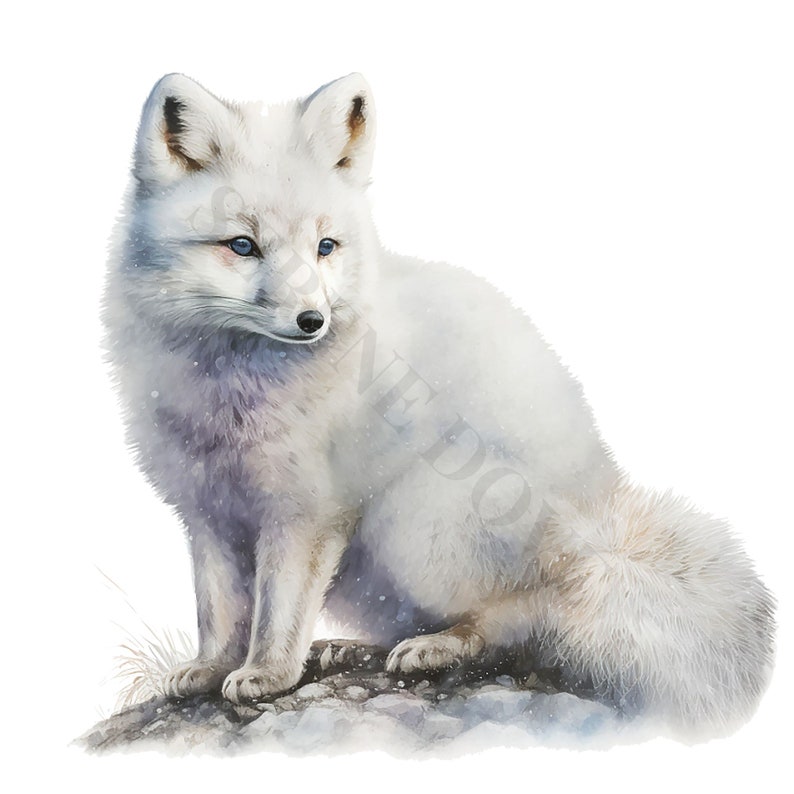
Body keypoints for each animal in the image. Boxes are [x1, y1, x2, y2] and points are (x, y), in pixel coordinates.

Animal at [103, 72, 774, 735]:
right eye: (241, 245)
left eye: (325, 246)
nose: (313, 320)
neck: (228, 393)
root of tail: (593, 541)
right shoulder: (207, 511)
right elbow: (219, 611)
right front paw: (211, 668)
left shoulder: (308, 512)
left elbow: (278, 612)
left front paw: (266, 674)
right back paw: (353, 648)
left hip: (414, 521)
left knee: (519, 623)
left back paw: (442, 644)